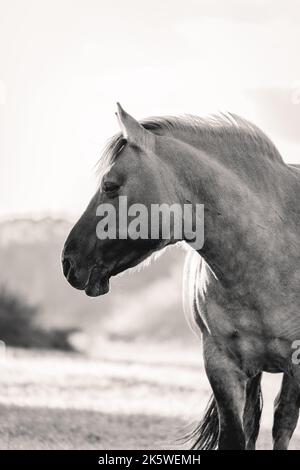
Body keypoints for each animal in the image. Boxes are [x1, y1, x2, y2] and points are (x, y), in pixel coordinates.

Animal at [62, 104, 300, 450]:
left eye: (110, 185)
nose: (68, 261)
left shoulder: (297, 364)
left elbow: (282, 426)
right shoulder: (221, 363)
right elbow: (235, 435)